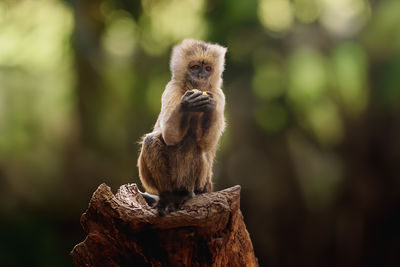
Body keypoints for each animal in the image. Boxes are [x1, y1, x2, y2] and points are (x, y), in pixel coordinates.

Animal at [138, 38, 227, 216]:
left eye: (207, 69)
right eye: (195, 67)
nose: (201, 76)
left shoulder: (219, 95)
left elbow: (207, 143)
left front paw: (209, 107)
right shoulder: (171, 88)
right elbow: (169, 135)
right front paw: (187, 104)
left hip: (201, 181)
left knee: (192, 142)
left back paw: (185, 194)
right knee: (153, 140)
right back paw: (169, 197)